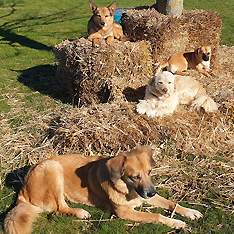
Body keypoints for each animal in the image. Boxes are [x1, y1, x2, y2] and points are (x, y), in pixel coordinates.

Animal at [3, 145, 202, 233]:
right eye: (135, 176)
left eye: (149, 172)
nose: (151, 192)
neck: (126, 188)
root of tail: (22, 190)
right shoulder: (124, 212)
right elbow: (156, 215)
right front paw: (176, 222)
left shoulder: (145, 195)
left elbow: (171, 203)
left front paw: (189, 212)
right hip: (53, 168)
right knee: (60, 207)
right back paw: (80, 212)